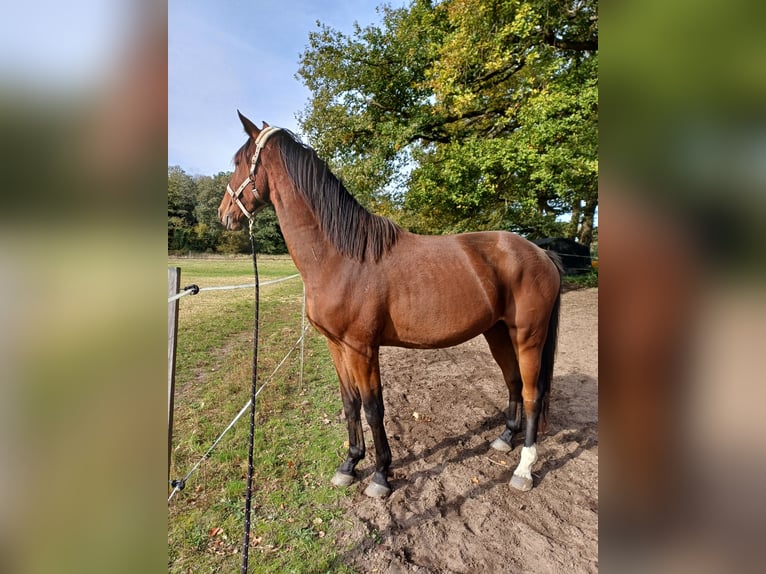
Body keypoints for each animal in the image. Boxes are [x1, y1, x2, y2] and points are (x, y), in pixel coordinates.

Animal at [218, 113, 564, 500]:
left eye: (238, 162)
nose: (224, 214)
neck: (343, 256)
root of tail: (541, 253)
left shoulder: (363, 349)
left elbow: (373, 408)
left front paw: (381, 475)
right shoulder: (337, 346)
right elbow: (349, 403)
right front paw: (349, 465)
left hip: (529, 337)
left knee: (533, 393)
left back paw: (524, 469)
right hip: (498, 333)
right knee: (513, 381)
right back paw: (505, 438)